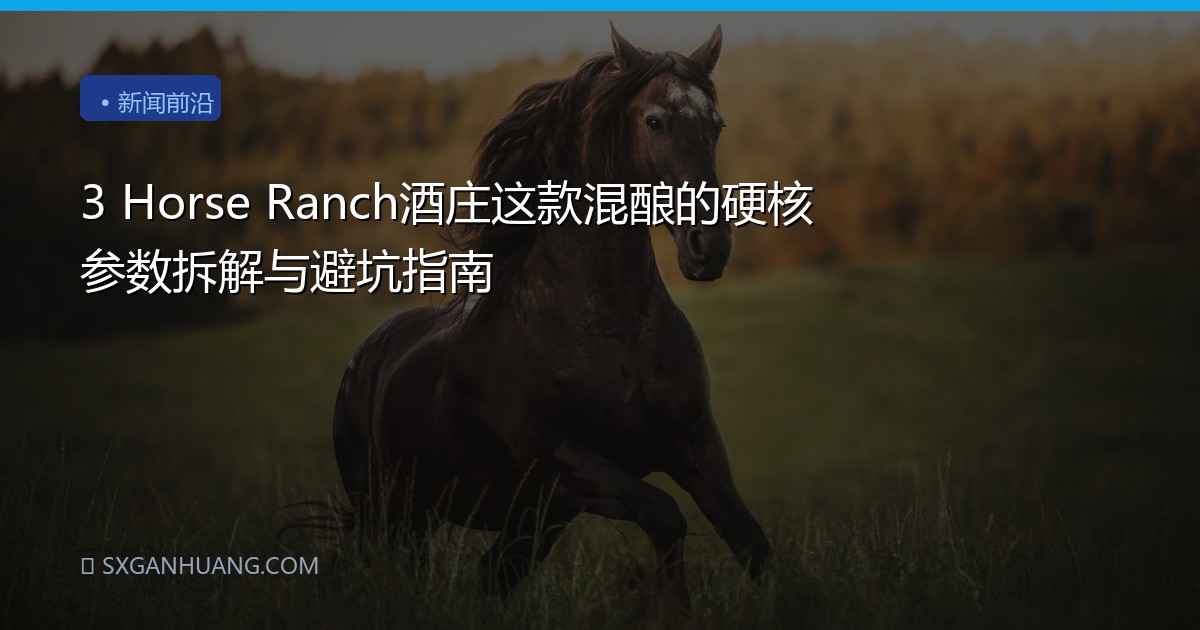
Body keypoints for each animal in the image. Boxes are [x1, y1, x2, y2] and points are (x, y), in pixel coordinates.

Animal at [332, 24, 771, 603]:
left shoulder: (693, 442)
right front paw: (666, 606)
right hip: (390, 510)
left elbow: (749, 540)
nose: (711, 247)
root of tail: (363, 360)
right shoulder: (561, 459)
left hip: (524, 521)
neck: (610, 330)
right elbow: (666, 517)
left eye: (716, 125)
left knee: (491, 576)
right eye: (654, 121)